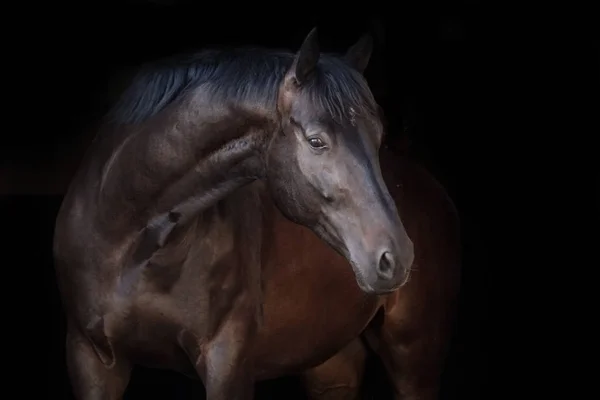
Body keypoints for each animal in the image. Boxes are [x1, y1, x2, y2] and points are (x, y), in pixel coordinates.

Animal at [51, 28, 418, 400]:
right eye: (316, 141)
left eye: (378, 137)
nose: (396, 257)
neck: (130, 241)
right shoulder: (89, 358)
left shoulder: (227, 362)